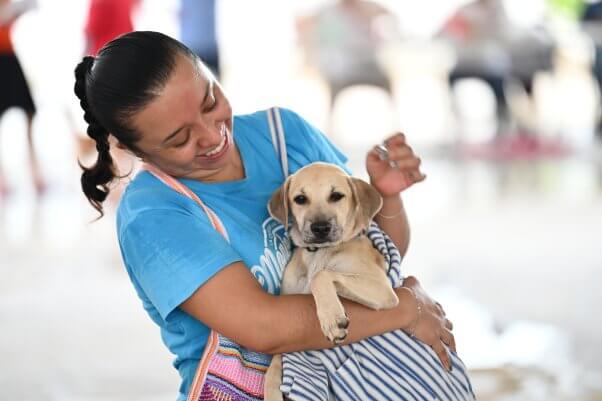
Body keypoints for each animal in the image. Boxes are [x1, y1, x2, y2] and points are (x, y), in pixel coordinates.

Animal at [264, 161, 398, 398]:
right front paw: (271, 391)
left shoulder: (383, 289)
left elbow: (321, 276)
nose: (320, 228)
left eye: (336, 196)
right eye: (300, 199)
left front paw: (332, 318)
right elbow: (274, 364)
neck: (318, 253)